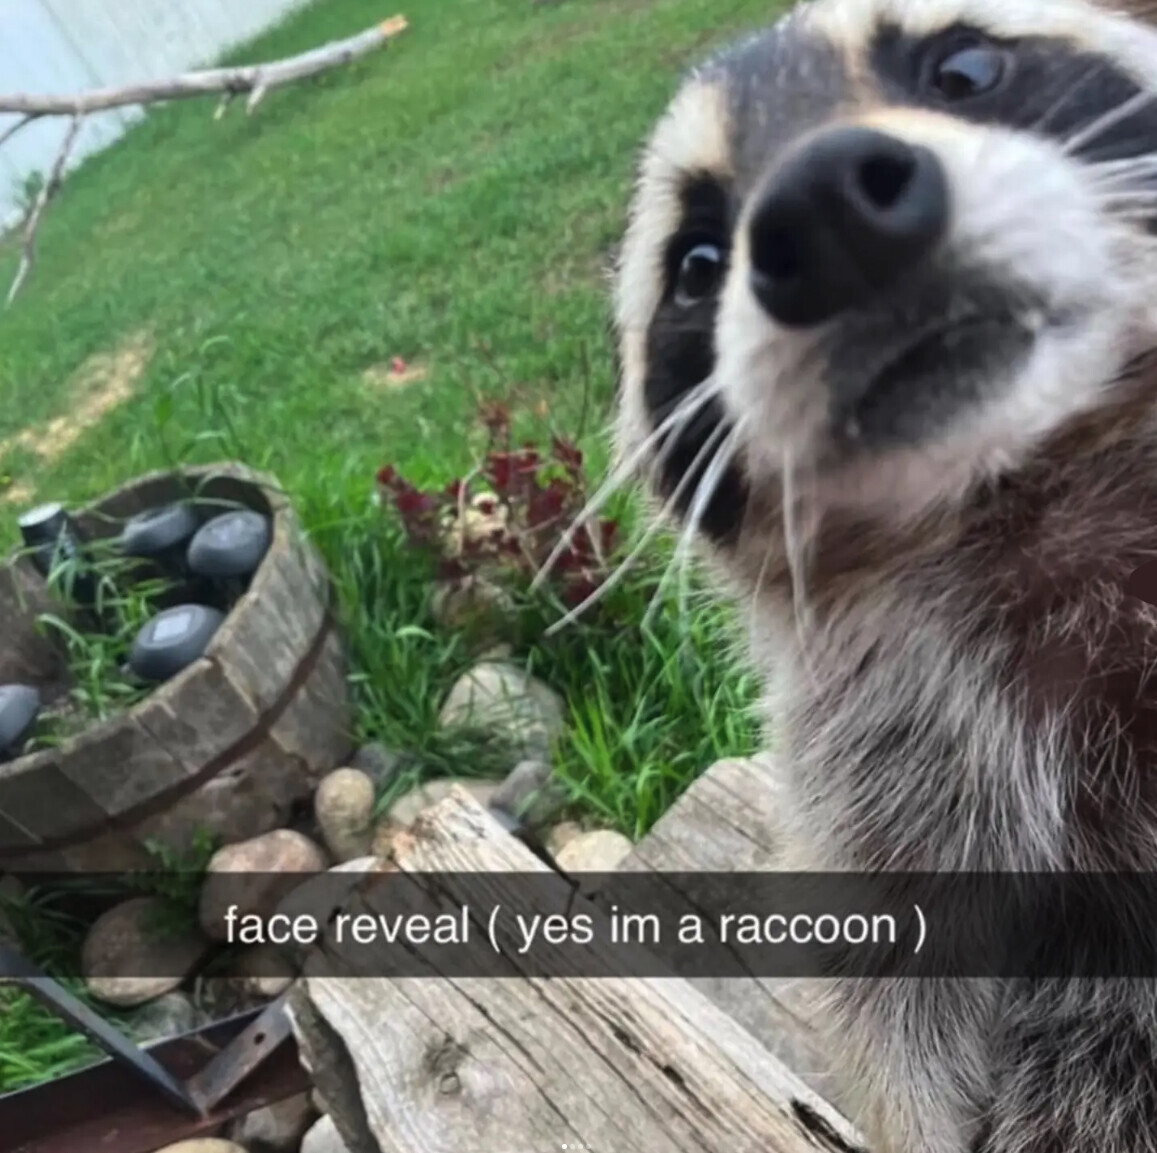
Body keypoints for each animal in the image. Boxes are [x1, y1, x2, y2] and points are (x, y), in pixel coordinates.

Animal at [611, 1, 1157, 1150]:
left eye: (965, 67)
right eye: (695, 260)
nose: (823, 207)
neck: (1014, 476)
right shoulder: (877, 771)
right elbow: (889, 996)